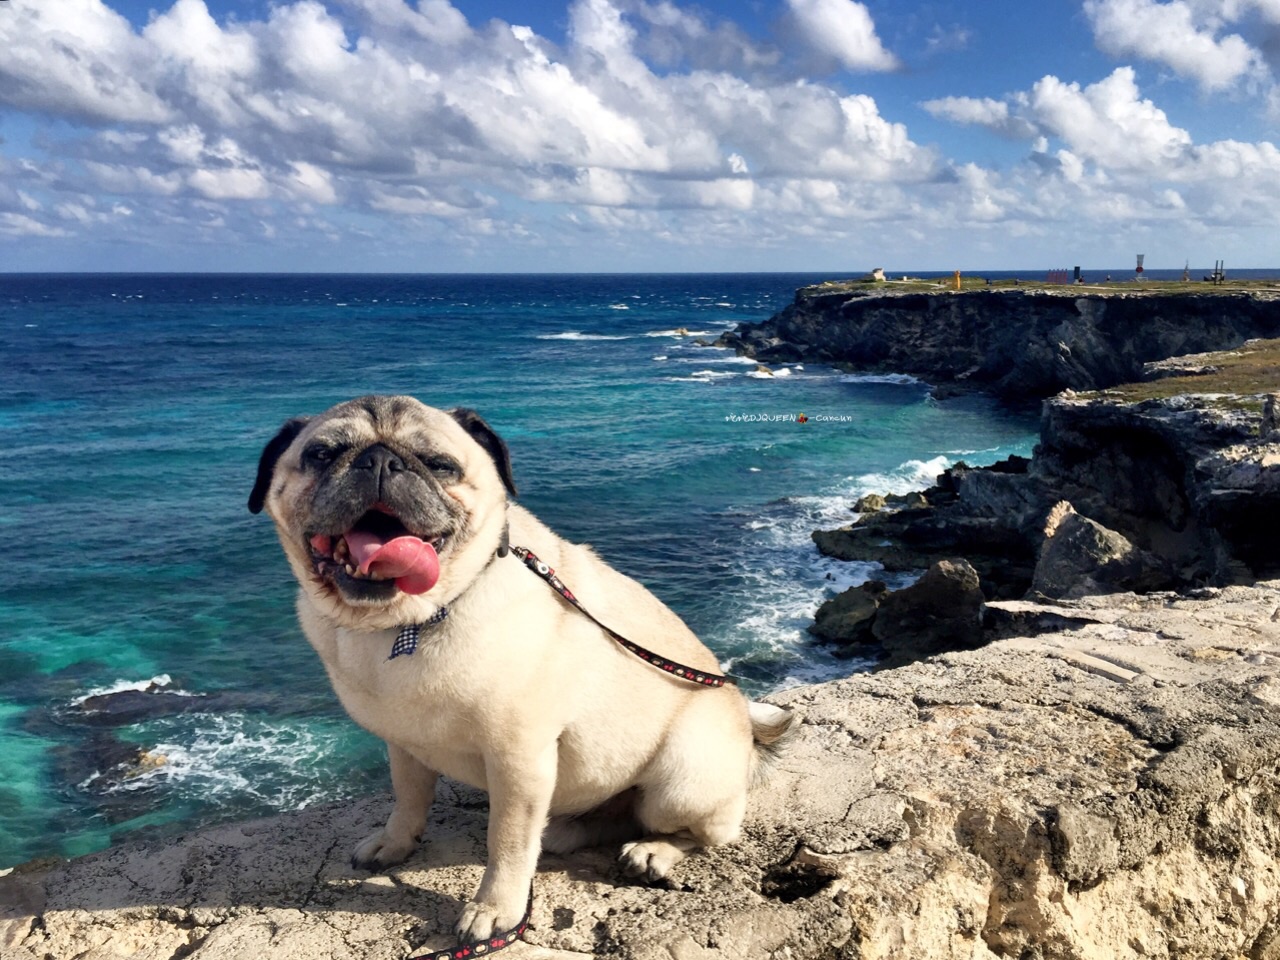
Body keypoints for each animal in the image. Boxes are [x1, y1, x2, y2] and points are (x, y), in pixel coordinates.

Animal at [249, 395, 797, 943]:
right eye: (322, 455)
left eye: (440, 465)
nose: (379, 461)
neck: (410, 621)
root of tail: (747, 734)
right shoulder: (404, 744)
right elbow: (408, 799)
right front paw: (395, 843)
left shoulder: (519, 760)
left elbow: (508, 842)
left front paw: (495, 909)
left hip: (681, 781)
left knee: (705, 831)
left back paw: (653, 851)